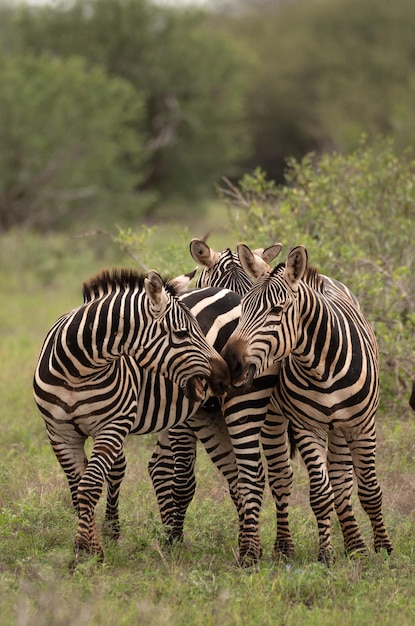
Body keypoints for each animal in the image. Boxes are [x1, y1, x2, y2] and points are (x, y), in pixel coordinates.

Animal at [31, 266, 231, 560]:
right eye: (181, 334)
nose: (224, 377)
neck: (77, 371)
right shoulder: (60, 434)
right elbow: (79, 488)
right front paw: (88, 546)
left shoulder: (111, 425)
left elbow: (90, 485)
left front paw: (88, 550)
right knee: (150, 468)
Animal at [223, 243, 394, 560]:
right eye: (243, 308)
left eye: (277, 310)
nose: (229, 364)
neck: (322, 368)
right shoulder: (307, 427)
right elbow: (321, 493)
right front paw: (326, 553)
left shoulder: (363, 425)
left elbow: (369, 489)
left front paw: (383, 548)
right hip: (276, 418)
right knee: (284, 477)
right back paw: (288, 546)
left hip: (340, 427)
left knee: (342, 479)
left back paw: (356, 545)